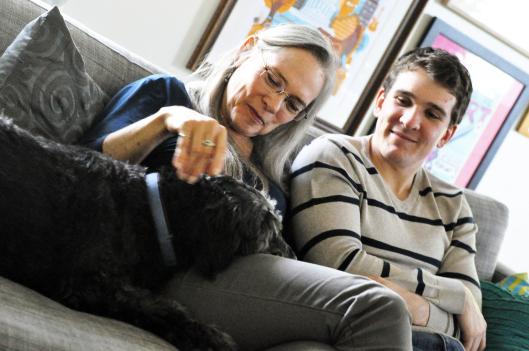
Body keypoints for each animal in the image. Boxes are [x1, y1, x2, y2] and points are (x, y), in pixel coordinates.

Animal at [0, 117, 294, 350]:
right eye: (269, 230)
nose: (293, 255)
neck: (153, 210)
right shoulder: (89, 284)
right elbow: (164, 308)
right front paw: (210, 337)